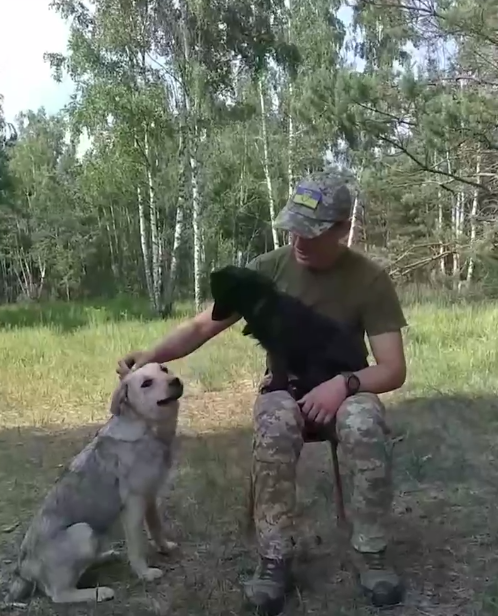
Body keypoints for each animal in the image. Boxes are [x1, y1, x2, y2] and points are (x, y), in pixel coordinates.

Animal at [208, 264, 368, 400]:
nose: (213, 317)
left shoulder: (278, 350)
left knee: (319, 381)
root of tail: (362, 362)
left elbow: (279, 373)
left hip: (316, 357)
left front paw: (273, 387)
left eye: (218, 295)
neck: (262, 303)